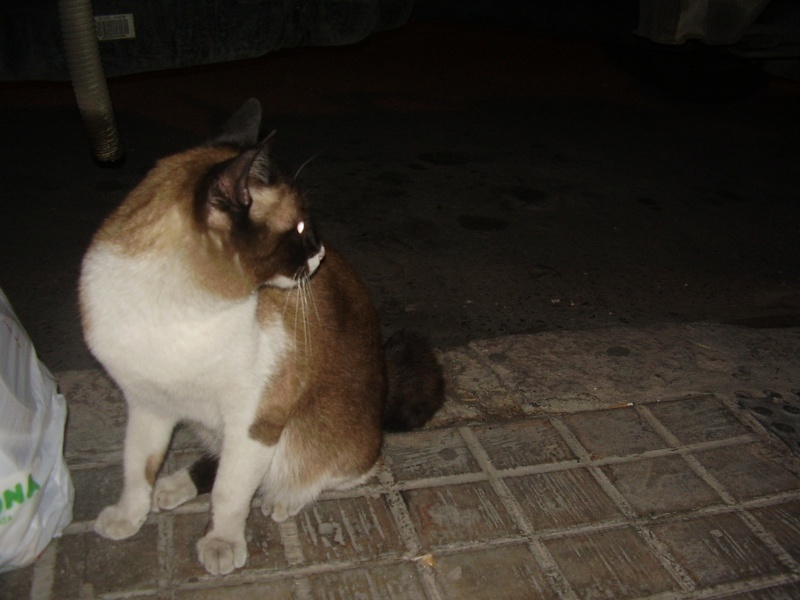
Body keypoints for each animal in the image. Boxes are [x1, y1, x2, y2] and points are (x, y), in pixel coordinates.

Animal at [79, 96, 444, 576]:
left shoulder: (255, 418)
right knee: (216, 460)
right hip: (220, 427)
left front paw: (221, 542)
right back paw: (173, 487)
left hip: (299, 438)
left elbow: (230, 492)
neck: (172, 312)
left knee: (334, 469)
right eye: (303, 229)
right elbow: (137, 467)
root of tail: (385, 394)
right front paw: (129, 516)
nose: (322, 253)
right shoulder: (148, 405)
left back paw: (285, 498)